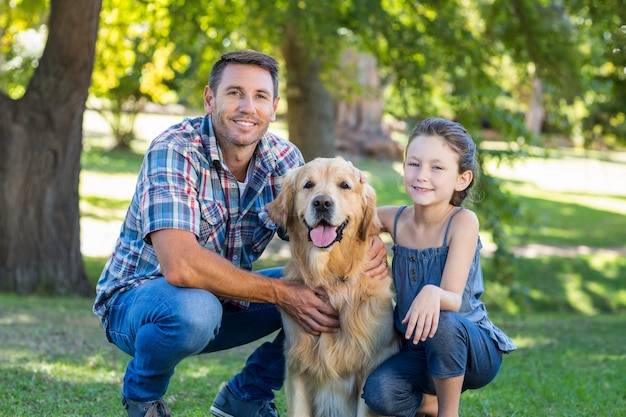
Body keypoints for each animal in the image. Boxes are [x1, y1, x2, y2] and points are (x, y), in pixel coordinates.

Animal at [266, 157, 398, 416]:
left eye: (344, 185)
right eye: (308, 184)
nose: (322, 202)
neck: (330, 280)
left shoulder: (370, 366)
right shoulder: (297, 369)